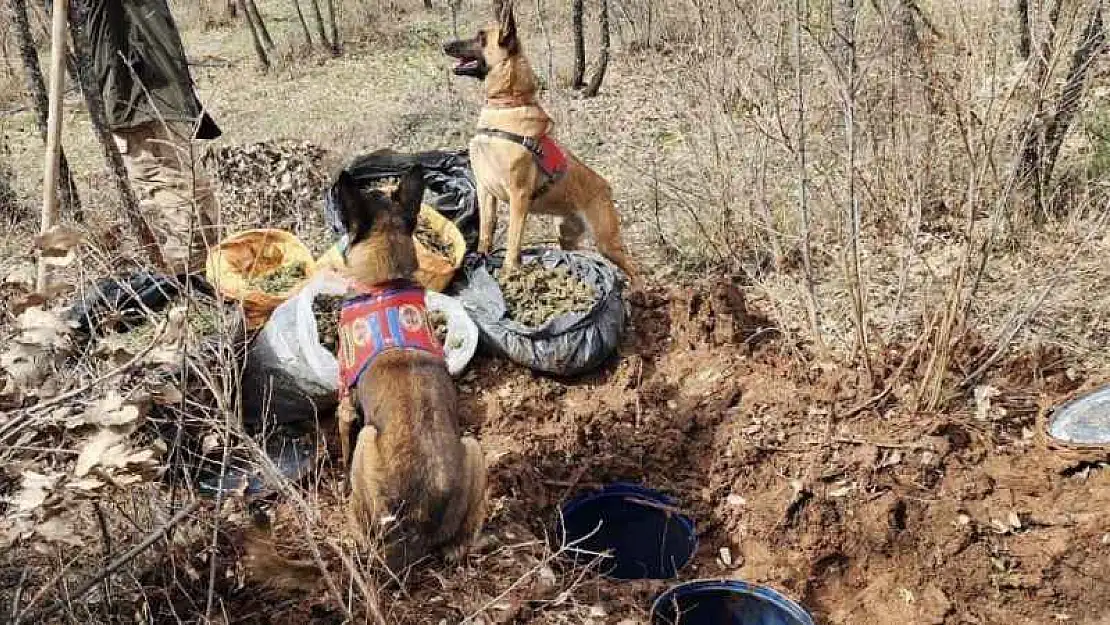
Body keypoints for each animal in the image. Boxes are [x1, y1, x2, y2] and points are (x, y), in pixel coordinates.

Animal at [328, 165, 486, 572]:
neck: (386, 281)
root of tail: (415, 524)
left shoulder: (345, 403)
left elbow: (342, 443)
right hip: (473, 447)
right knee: (460, 542)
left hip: (368, 439)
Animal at [439, 1, 634, 284]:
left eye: (481, 36)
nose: (444, 44)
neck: (506, 105)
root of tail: (606, 187)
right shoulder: (486, 192)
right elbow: (486, 232)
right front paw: (480, 259)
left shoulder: (519, 197)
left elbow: (512, 242)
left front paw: (509, 272)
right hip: (567, 237)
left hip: (607, 241)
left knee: (634, 267)